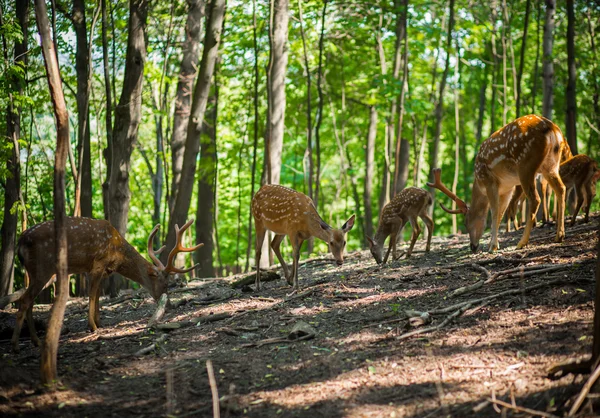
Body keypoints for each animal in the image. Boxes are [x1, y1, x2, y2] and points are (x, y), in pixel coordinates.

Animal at [2, 217, 204, 352]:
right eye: (165, 284)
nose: (168, 305)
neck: (117, 251)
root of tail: (21, 242)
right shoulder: (97, 263)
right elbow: (92, 295)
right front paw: (92, 326)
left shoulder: (99, 269)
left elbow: (98, 295)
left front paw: (99, 322)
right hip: (42, 267)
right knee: (25, 300)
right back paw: (15, 345)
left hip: (34, 271)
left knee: (29, 300)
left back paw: (35, 341)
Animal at [426, 113, 568, 251]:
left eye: (466, 222)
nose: (473, 247)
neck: (479, 184)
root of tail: (551, 129)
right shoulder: (507, 188)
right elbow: (501, 212)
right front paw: (493, 244)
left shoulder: (489, 181)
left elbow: (494, 211)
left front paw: (493, 247)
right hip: (551, 165)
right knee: (561, 188)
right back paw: (559, 236)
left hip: (526, 164)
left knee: (535, 198)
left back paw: (522, 242)